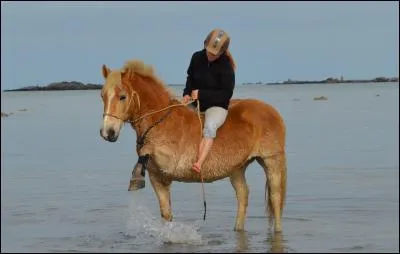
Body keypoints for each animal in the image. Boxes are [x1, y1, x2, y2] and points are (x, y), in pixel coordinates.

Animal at [99, 59, 288, 232]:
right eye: (102, 96)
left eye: (122, 96)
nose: (107, 132)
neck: (160, 121)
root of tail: (273, 111)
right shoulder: (157, 178)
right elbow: (166, 213)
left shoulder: (169, 164)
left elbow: (146, 151)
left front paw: (136, 175)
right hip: (237, 169)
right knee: (243, 195)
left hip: (271, 161)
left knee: (275, 199)